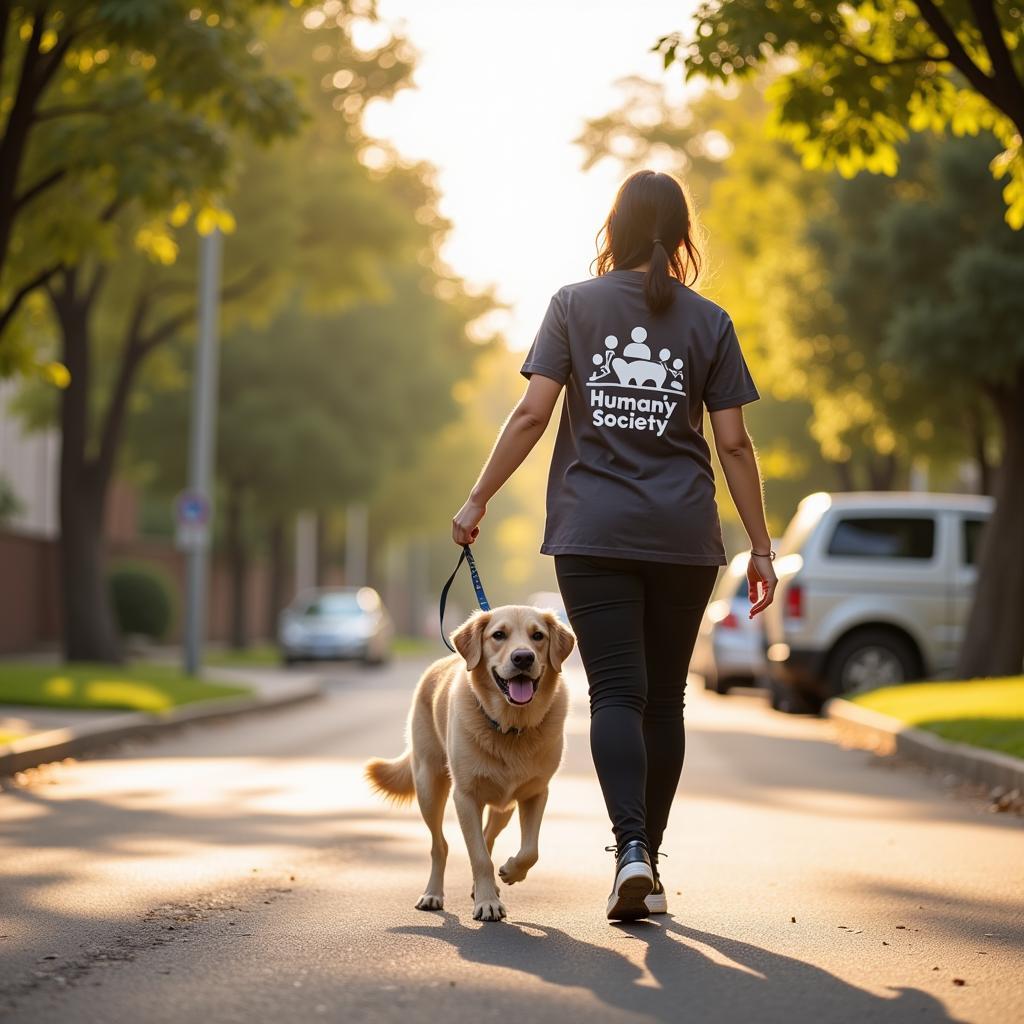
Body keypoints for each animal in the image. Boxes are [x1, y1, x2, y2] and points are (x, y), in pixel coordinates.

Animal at [366, 602, 577, 925]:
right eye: (498, 635)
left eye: (538, 636)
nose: (523, 657)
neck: (510, 727)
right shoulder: (465, 797)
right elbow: (478, 856)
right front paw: (488, 903)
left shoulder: (536, 793)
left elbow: (530, 850)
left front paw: (510, 872)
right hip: (429, 787)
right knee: (440, 845)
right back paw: (433, 894)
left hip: (504, 807)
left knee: (488, 837)